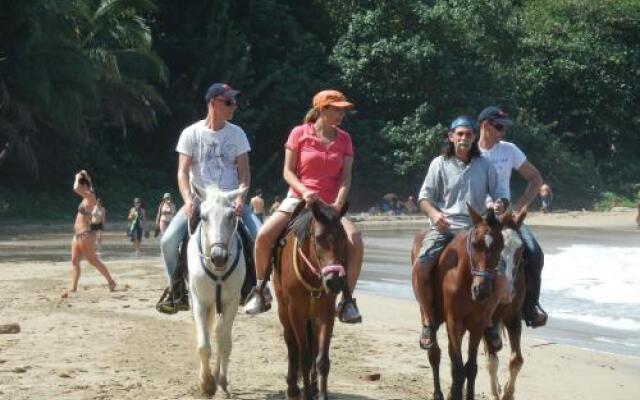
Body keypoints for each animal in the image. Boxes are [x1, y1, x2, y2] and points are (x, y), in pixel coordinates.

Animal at [186, 185, 246, 396]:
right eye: (203, 216)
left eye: (231, 215)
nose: (218, 257)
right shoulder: (199, 302)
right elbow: (204, 345)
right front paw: (206, 384)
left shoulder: (232, 302)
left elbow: (224, 342)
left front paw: (220, 383)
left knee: (220, 334)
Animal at [272, 202, 348, 400]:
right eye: (319, 238)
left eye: (344, 236)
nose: (335, 281)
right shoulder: (296, 314)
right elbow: (304, 357)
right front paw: (304, 393)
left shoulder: (326, 313)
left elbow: (322, 360)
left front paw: (321, 394)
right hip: (284, 311)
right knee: (292, 345)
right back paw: (292, 388)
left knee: (313, 345)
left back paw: (313, 386)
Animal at [412, 206, 508, 400]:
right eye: (475, 244)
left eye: (501, 246)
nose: (481, 290)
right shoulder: (454, 322)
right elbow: (458, 368)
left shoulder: (477, 324)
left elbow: (470, 367)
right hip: (427, 310)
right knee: (434, 354)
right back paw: (438, 393)